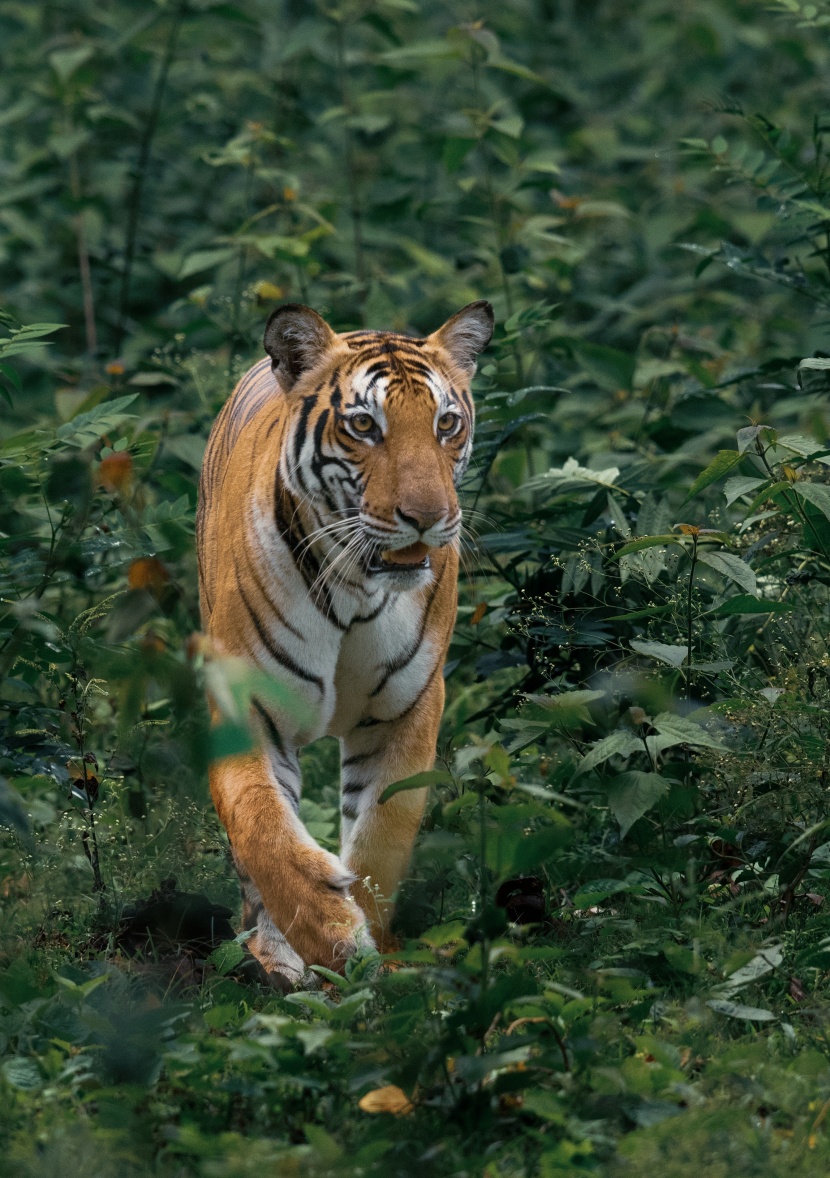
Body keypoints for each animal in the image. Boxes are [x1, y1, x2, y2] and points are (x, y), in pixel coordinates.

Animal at [195, 296, 492, 984]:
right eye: (364, 425)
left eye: (446, 423)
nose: (428, 518)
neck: (356, 587)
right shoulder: (244, 704)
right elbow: (263, 827)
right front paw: (329, 940)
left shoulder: (408, 707)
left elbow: (383, 835)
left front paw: (370, 953)